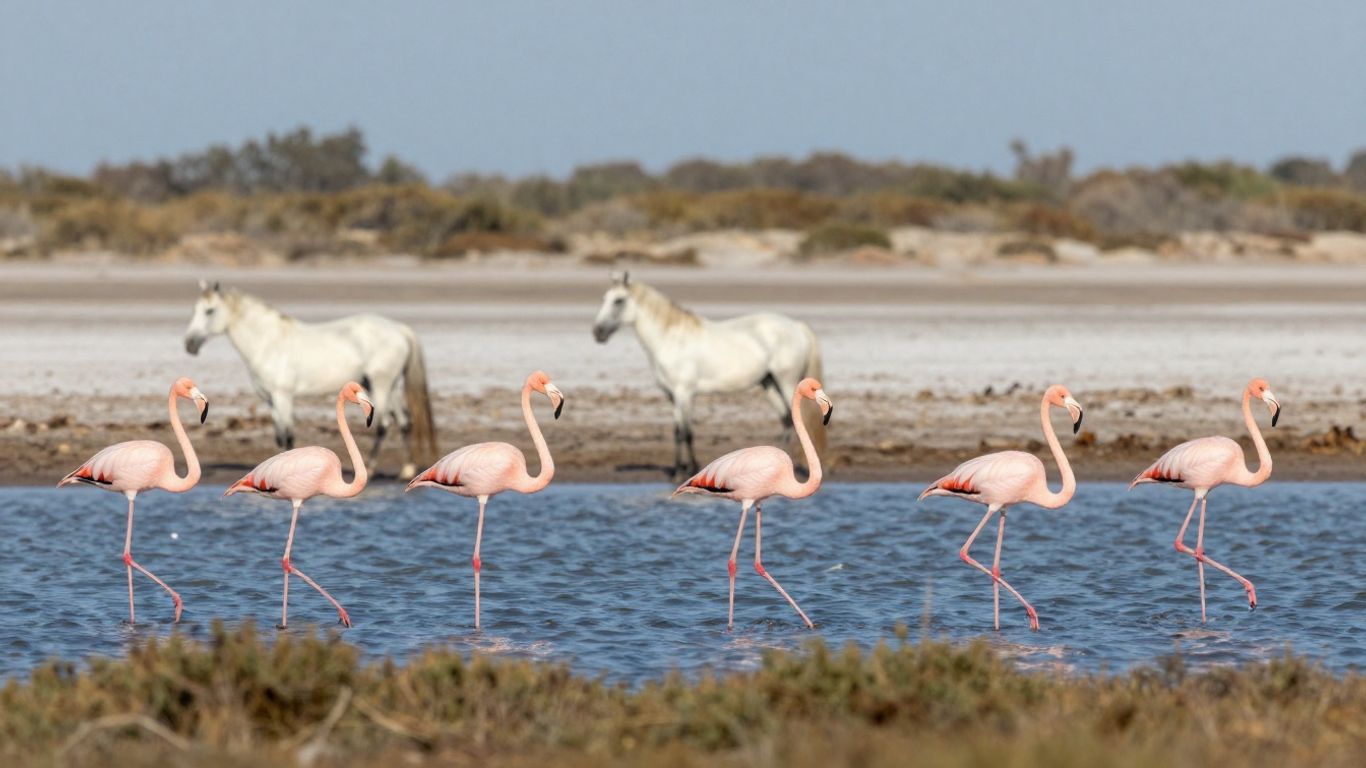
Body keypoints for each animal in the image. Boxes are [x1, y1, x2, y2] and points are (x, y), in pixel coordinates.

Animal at [183, 280, 437, 478]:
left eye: (209, 311)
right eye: (195, 309)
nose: (189, 344)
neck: (268, 343)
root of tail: (399, 329)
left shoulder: (283, 397)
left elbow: (288, 436)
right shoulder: (270, 400)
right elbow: (279, 437)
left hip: (381, 385)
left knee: (383, 424)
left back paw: (372, 468)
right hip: (386, 385)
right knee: (404, 421)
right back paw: (406, 469)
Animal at [591, 272, 825, 478]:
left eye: (619, 300)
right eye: (604, 298)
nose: (597, 333)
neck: (671, 339)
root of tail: (796, 326)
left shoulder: (684, 393)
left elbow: (687, 432)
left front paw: (689, 469)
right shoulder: (673, 395)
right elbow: (677, 431)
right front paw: (678, 469)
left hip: (787, 382)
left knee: (794, 418)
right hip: (768, 384)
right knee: (786, 418)